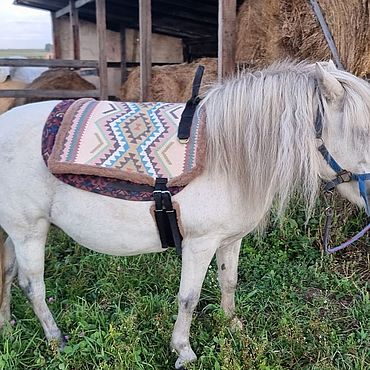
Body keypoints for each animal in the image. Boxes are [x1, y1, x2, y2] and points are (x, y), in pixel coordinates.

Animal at [0, 60, 368, 368]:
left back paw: (7, 324)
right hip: (28, 230)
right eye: (362, 133)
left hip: (12, 232)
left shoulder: (230, 240)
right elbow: (188, 298)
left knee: (6, 272)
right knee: (31, 285)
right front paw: (184, 351)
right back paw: (55, 339)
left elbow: (229, 281)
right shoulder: (199, 243)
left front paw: (231, 324)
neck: (226, 156)